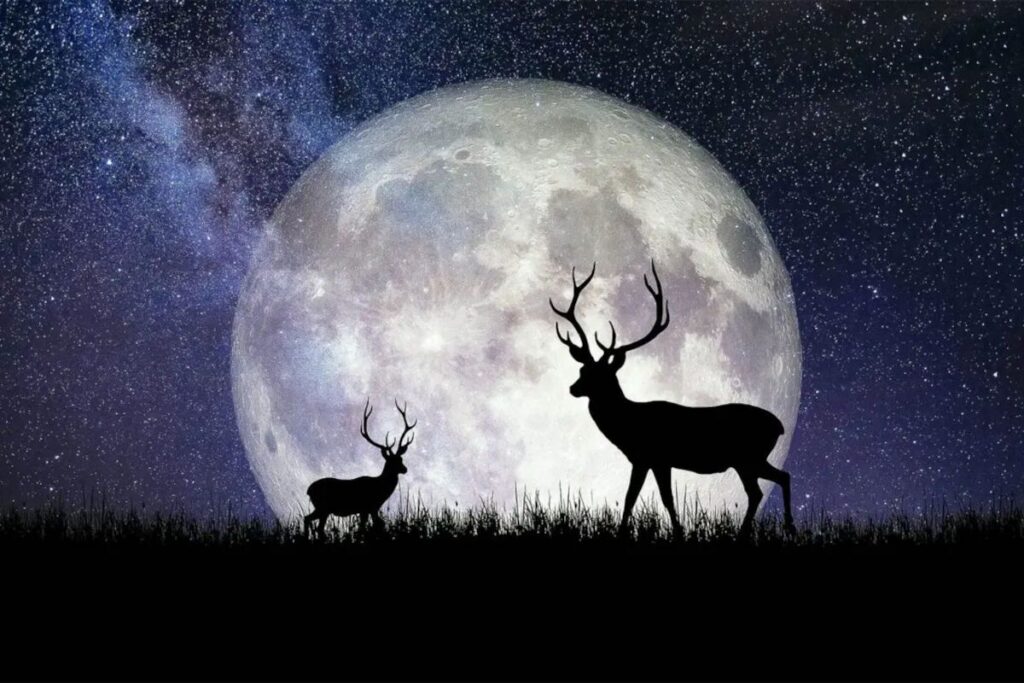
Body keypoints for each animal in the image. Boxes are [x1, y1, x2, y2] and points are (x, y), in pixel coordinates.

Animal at [303, 399, 416, 540]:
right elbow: (366, 528)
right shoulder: (367, 507)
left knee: (308, 519)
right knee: (316, 525)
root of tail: (309, 490)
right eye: (392, 462)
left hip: (322, 508)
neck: (380, 489)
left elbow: (375, 525)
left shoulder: (371, 509)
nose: (405, 469)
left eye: (401, 459)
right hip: (323, 507)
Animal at [549, 261, 795, 537]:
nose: (573, 388)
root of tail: (779, 426)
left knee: (757, 492)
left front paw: (666, 533)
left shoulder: (653, 456)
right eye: (583, 370)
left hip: (746, 457)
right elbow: (642, 498)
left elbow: (650, 498)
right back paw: (789, 527)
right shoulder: (648, 460)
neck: (628, 424)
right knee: (781, 477)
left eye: (601, 375)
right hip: (754, 459)